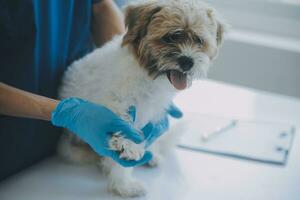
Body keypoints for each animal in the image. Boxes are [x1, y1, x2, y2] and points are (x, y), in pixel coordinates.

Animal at [57, 0, 226, 197]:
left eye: (199, 41)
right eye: (170, 37)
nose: (187, 61)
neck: (150, 76)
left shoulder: (151, 113)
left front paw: (124, 180)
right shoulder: (114, 104)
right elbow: (122, 130)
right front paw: (124, 179)